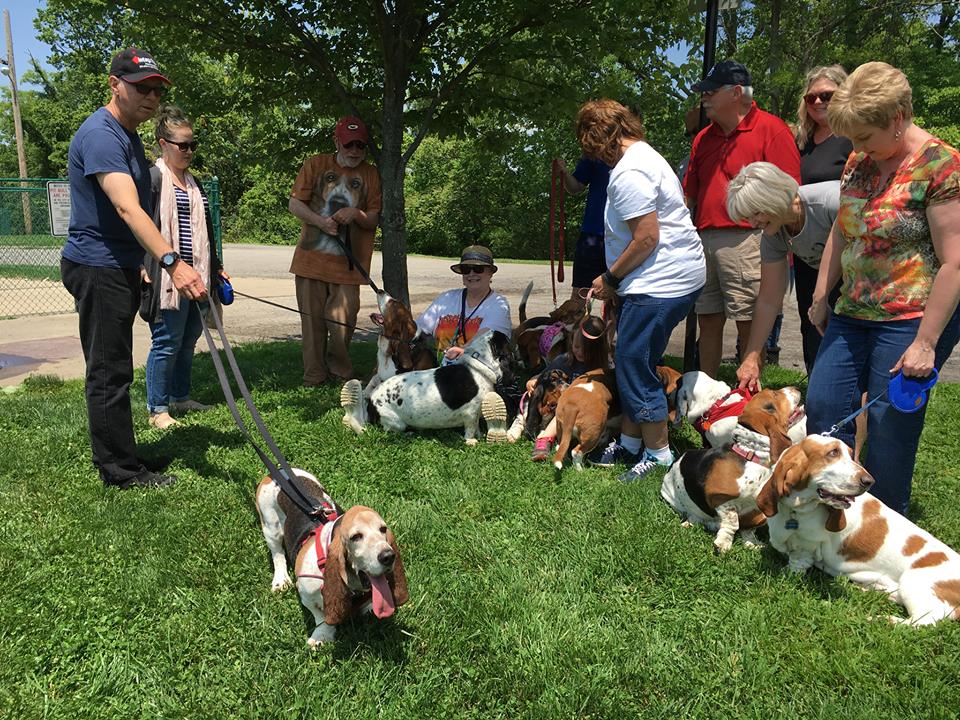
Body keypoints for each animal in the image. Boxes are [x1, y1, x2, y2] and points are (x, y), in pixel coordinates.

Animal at [255, 468, 409, 646]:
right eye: (356, 537)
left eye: (383, 529)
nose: (388, 556)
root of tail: (278, 471)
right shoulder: (305, 593)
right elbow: (321, 617)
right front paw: (322, 635)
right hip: (270, 526)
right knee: (278, 554)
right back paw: (280, 580)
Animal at [341, 329, 513, 444]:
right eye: (507, 342)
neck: (480, 366)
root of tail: (371, 401)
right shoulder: (470, 412)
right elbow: (470, 429)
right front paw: (471, 442)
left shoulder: (476, 413)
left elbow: (476, 426)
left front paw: (479, 435)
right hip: (396, 423)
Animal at [660, 388, 801, 553]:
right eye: (775, 394)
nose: (795, 388)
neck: (752, 454)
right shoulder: (719, 498)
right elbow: (733, 523)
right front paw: (723, 543)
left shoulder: (758, 510)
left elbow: (748, 529)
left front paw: (752, 543)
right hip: (671, 498)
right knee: (692, 515)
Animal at [756, 436, 960, 625]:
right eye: (833, 453)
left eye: (849, 453)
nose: (868, 481)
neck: (795, 511)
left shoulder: (806, 546)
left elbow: (796, 563)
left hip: (914, 582)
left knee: (922, 621)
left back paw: (882, 619)